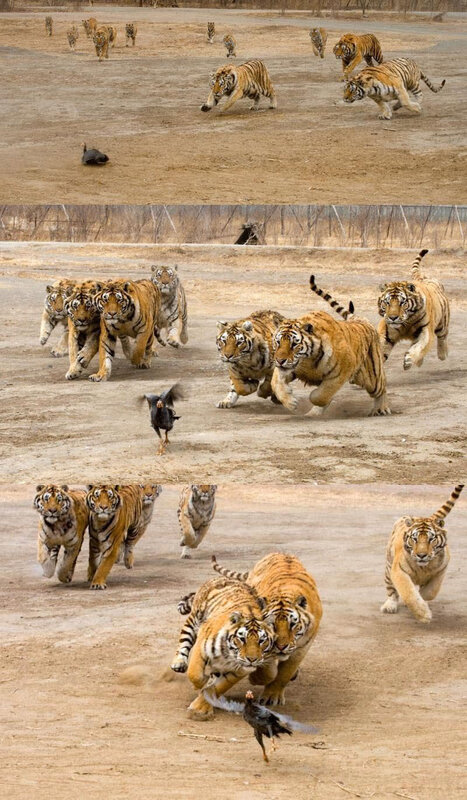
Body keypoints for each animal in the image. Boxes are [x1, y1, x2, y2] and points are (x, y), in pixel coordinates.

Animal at [170, 576, 275, 720]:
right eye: (242, 639)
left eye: (261, 641)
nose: (252, 660)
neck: (229, 654)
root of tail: (224, 577)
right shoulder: (201, 646)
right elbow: (194, 674)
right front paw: (202, 683)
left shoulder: (239, 671)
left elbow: (220, 686)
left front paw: (201, 706)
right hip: (195, 619)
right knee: (184, 638)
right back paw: (179, 663)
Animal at [212, 553, 322, 706]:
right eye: (272, 624)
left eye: (292, 624)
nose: (281, 647)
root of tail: (280, 552)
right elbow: (268, 672)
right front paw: (255, 679)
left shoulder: (302, 647)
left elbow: (284, 673)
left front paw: (271, 696)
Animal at [271, 275, 390, 417]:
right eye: (278, 342)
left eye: (294, 344)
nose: (280, 360)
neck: (308, 360)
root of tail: (361, 320)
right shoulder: (288, 369)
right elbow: (275, 383)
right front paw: (291, 402)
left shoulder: (340, 373)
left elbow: (320, 395)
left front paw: (313, 398)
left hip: (372, 378)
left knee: (382, 389)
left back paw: (381, 409)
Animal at [381, 484, 464, 623]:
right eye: (415, 539)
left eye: (431, 539)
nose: (421, 555)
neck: (423, 567)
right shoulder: (398, 571)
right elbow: (408, 593)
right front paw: (424, 615)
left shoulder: (441, 570)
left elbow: (431, 591)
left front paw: (423, 600)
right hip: (388, 566)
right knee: (391, 590)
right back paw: (389, 606)